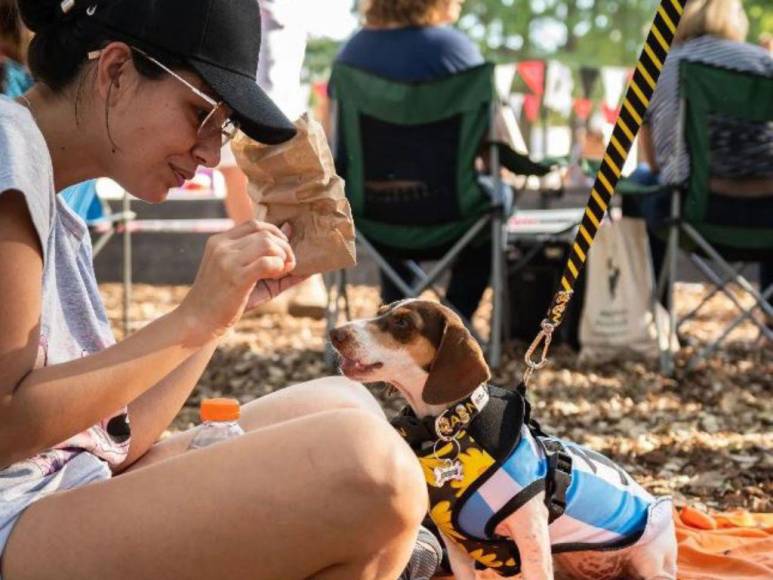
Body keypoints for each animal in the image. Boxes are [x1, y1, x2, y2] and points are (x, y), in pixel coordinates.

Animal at [328, 302, 672, 576]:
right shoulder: (457, 550)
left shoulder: (532, 542)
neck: (454, 423)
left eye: (402, 322)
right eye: (381, 310)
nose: (334, 333)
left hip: (653, 560)